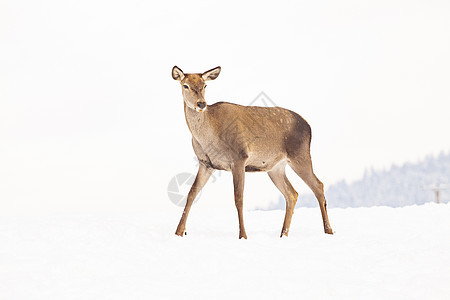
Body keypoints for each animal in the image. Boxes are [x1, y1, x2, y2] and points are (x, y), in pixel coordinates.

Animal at [172, 65, 334, 239]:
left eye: (205, 85)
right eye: (185, 85)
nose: (201, 104)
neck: (207, 138)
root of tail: (309, 126)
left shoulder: (239, 157)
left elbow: (238, 198)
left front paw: (243, 235)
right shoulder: (205, 163)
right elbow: (191, 193)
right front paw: (179, 232)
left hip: (300, 155)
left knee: (318, 185)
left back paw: (328, 230)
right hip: (276, 168)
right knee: (292, 193)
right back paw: (283, 233)